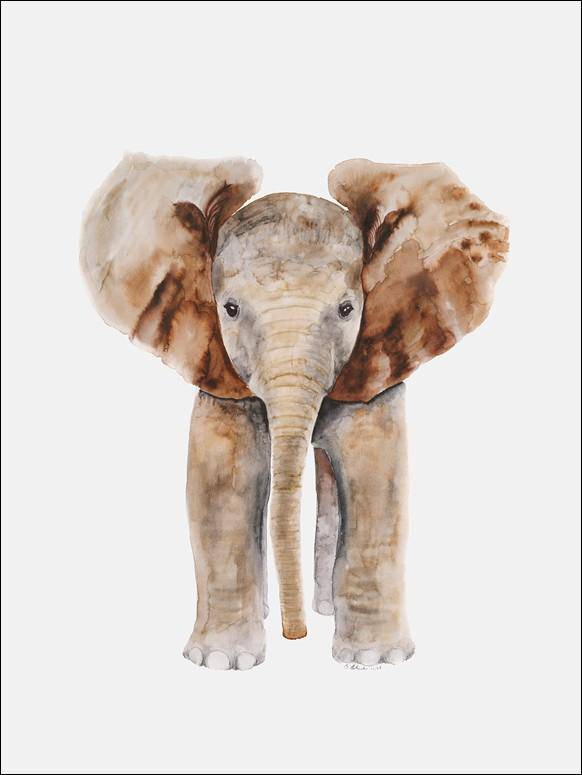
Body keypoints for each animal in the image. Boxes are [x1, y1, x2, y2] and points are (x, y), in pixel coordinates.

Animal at [80, 153, 508, 670]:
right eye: (229, 309)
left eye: (347, 309)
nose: (295, 636)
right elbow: (224, 481)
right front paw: (221, 662)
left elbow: (375, 477)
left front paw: (372, 660)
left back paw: (326, 610)